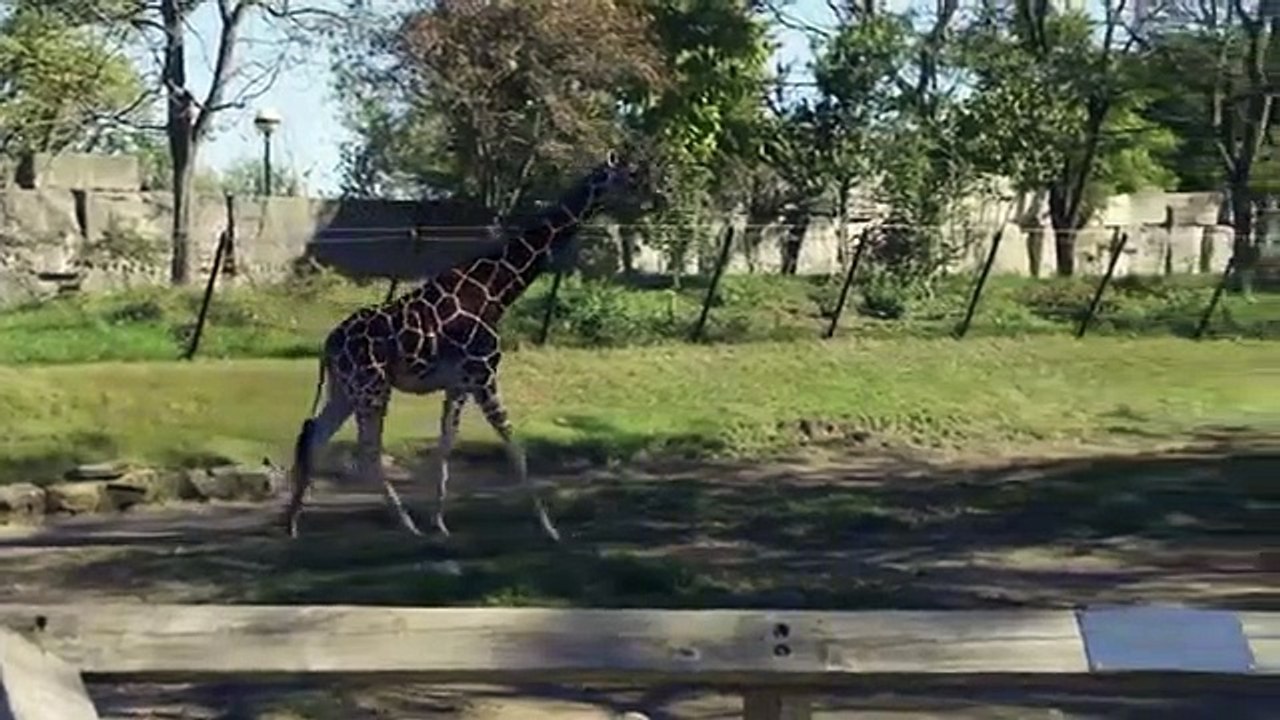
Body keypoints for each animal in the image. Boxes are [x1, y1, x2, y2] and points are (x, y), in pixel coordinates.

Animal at [282, 152, 650, 542]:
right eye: (627, 176)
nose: (647, 199)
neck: (497, 291)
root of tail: (329, 344)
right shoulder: (483, 375)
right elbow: (513, 445)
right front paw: (550, 528)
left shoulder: (458, 383)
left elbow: (447, 444)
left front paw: (440, 522)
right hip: (372, 387)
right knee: (365, 451)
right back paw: (406, 525)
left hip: (345, 388)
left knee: (315, 434)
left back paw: (293, 522)